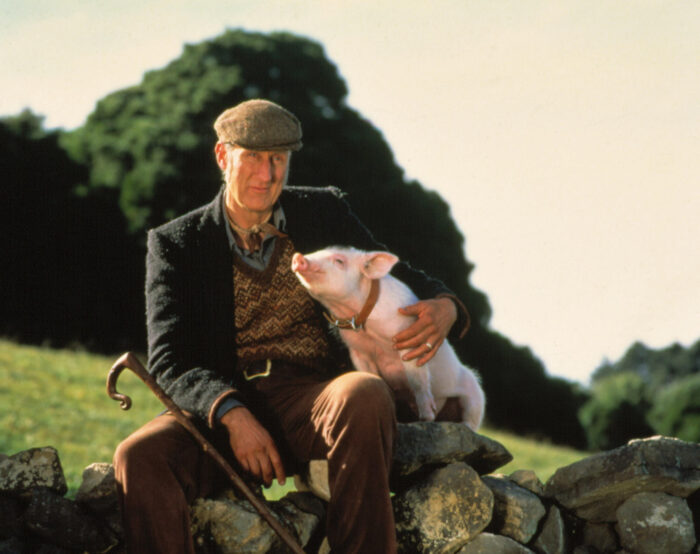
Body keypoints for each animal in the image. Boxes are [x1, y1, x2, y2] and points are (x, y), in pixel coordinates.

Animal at [291, 246, 485, 430]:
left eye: (339, 260)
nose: (299, 257)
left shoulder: (409, 340)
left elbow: (418, 379)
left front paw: (427, 417)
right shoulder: (357, 351)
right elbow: (370, 375)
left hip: (475, 396)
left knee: (471, 418)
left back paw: (458, 425)